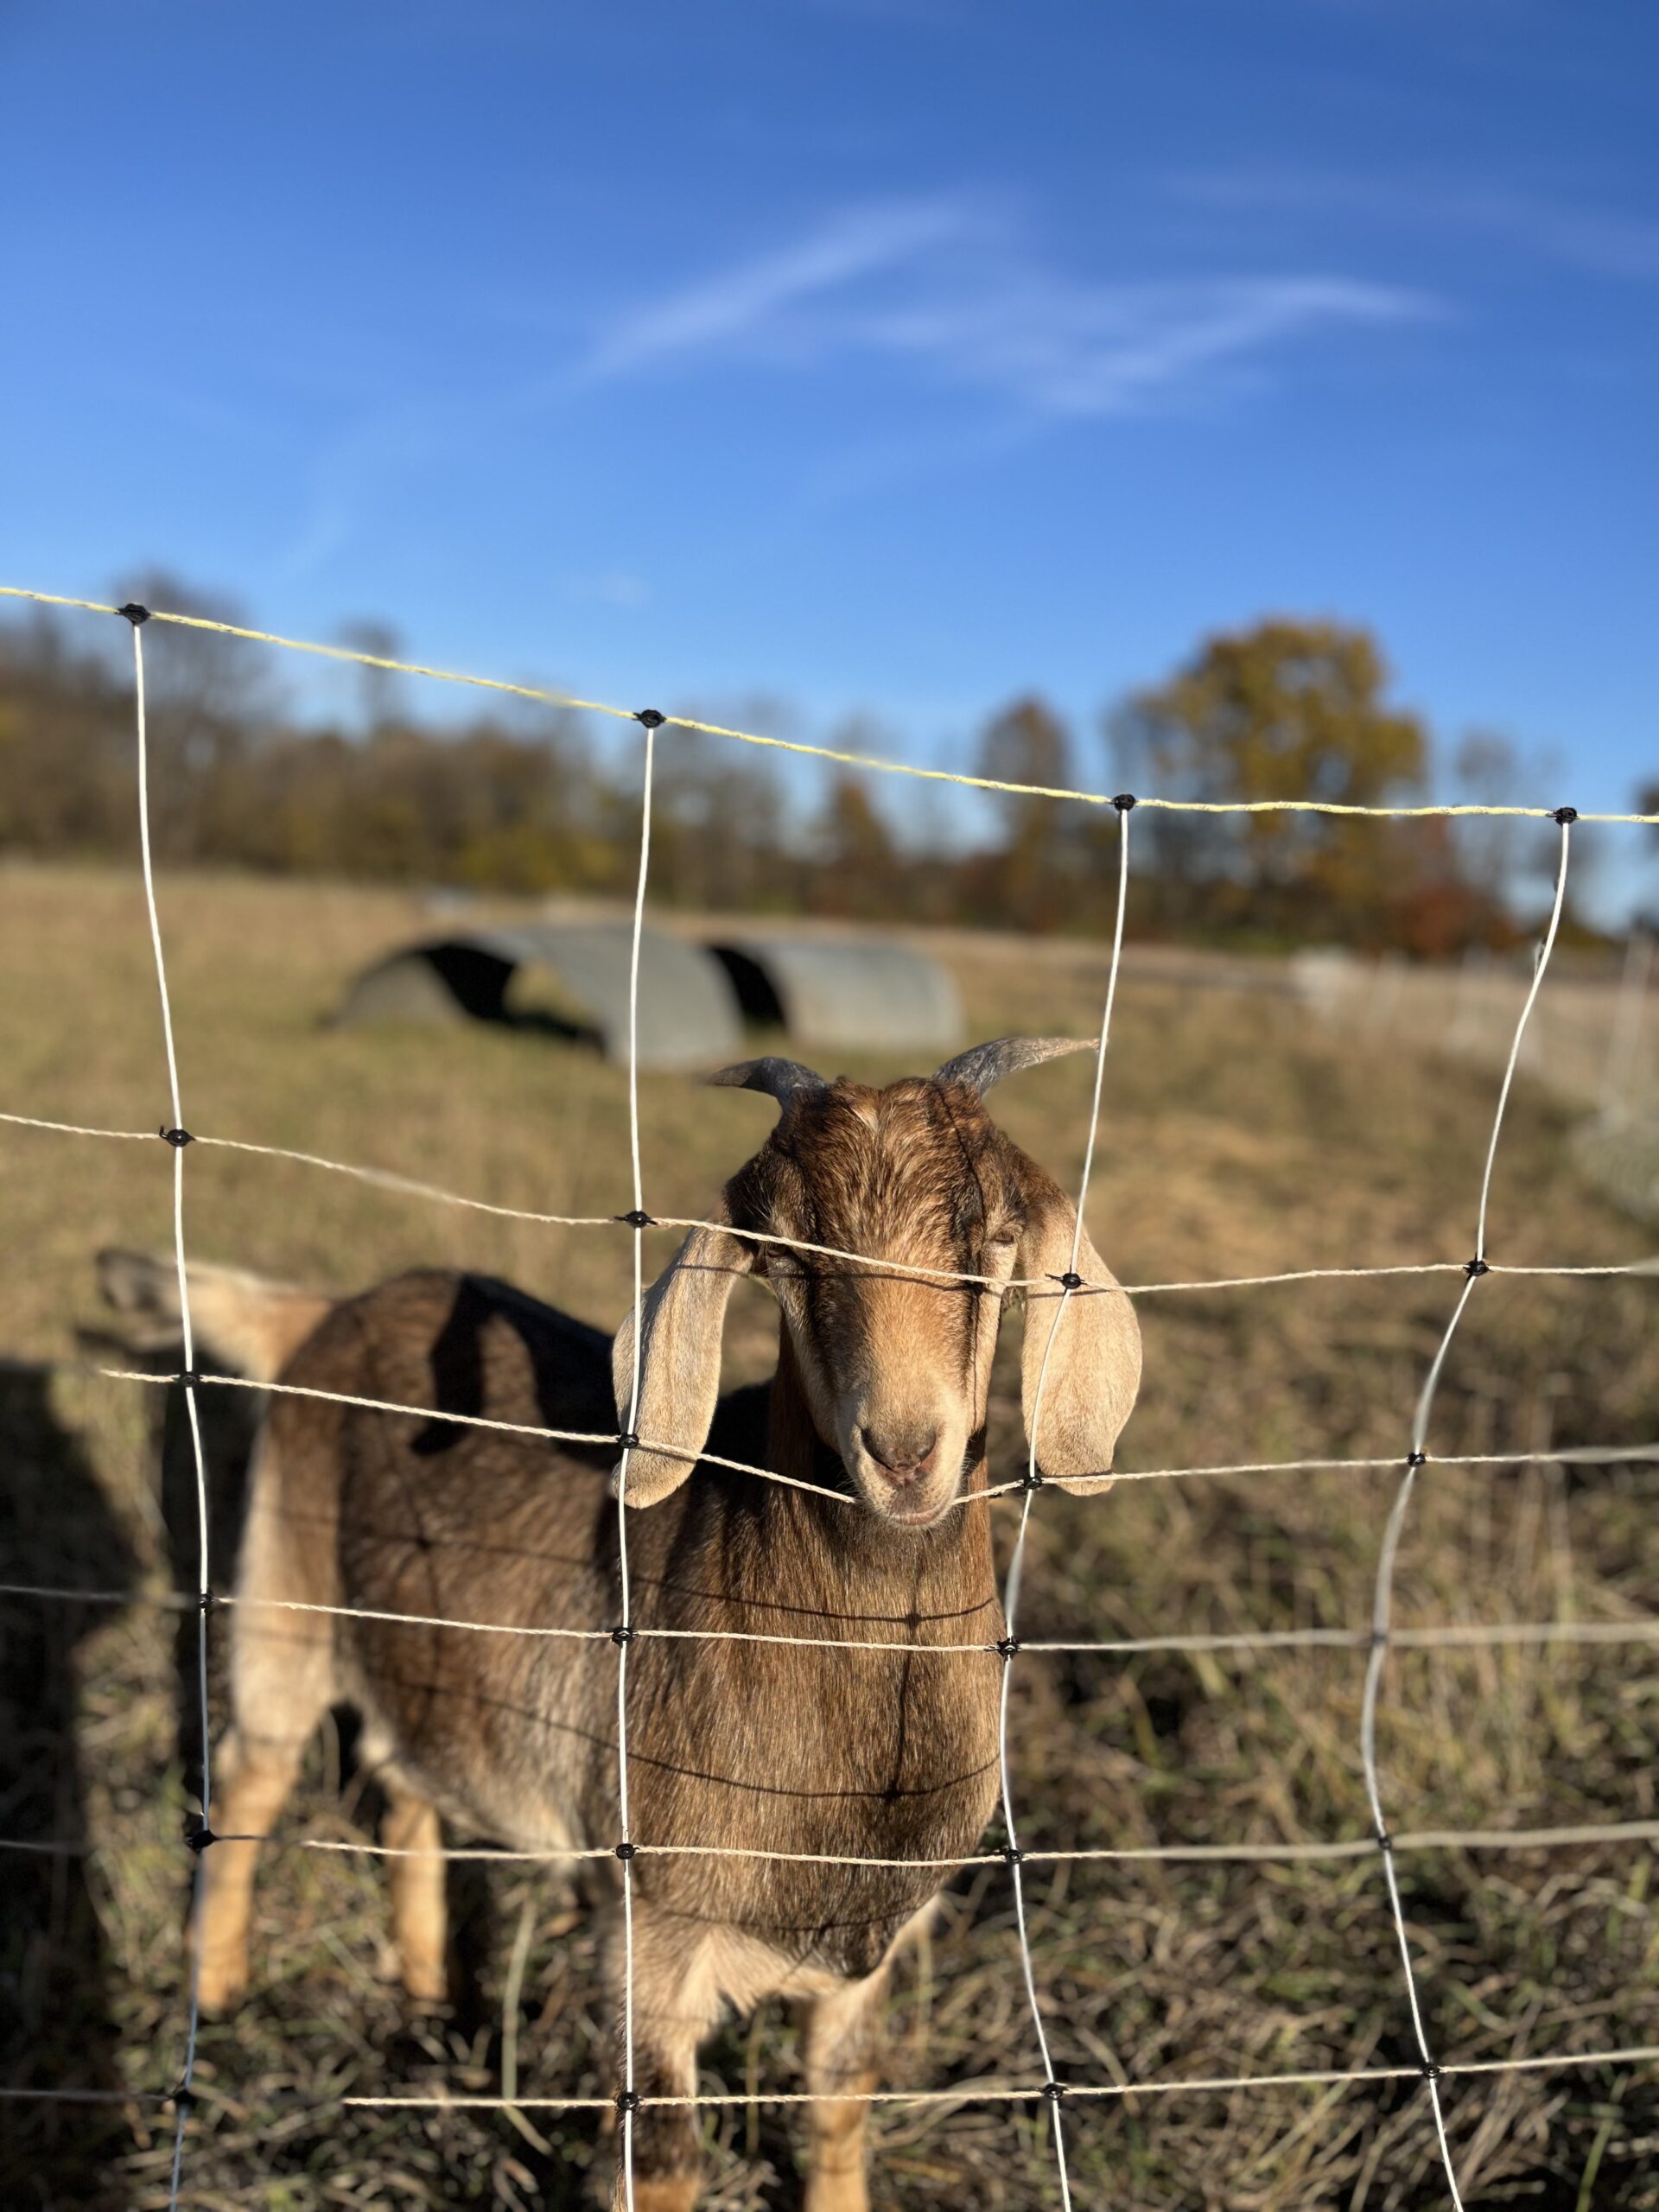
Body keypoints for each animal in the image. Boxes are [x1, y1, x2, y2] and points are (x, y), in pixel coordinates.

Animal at [104, 1037, 1141, 2212]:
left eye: (998, 1240)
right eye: (784, 1253)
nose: (906, 1450)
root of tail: (335, 1311)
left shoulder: (869, 1948)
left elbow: (840, 2104)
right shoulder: (654, 1934)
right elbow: (670, 2159)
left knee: (405, 1780)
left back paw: (425, 1991)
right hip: (284, 1594)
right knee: (253, 1773)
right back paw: (220, 1986)